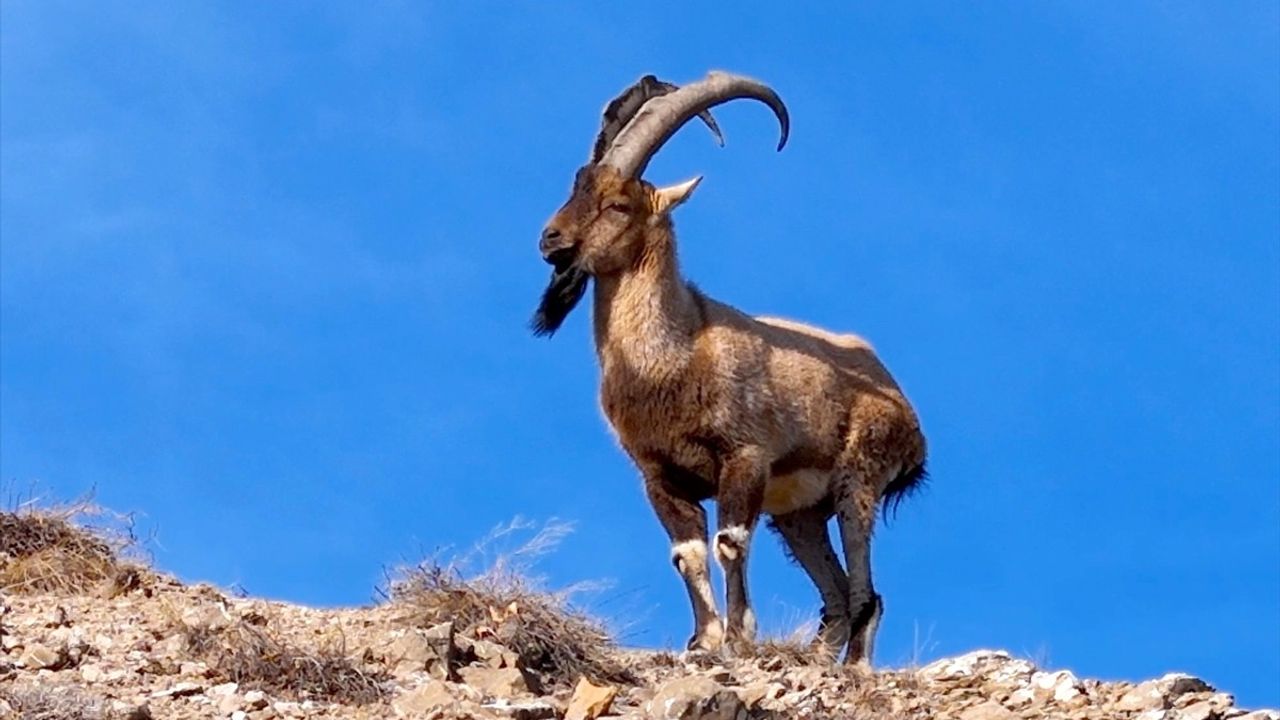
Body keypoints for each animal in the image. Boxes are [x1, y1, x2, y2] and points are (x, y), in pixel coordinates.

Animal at [532, 73, 931, 661]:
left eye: (618, 205)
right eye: (576, 189)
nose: (550, 239)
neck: (675, 354)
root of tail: (908, 414)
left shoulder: (744, 459)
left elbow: (728, 544)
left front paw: (741, 634)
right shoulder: (660, 476)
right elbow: (688, 553)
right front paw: (705, 639)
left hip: (857, 482)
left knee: (866, 595)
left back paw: (855, 667)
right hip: (797, 515)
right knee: (835, 599)